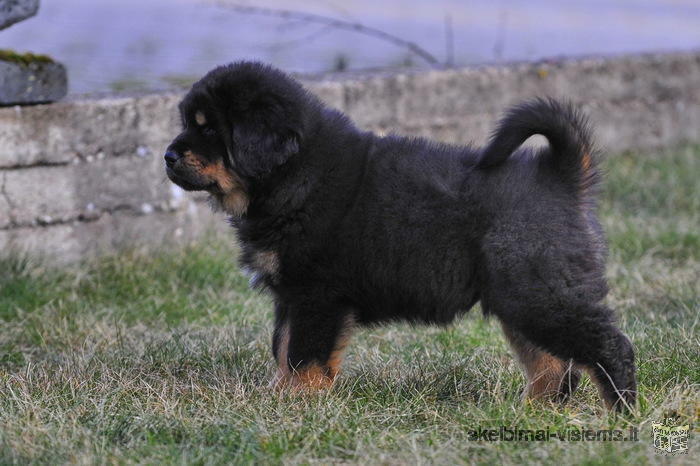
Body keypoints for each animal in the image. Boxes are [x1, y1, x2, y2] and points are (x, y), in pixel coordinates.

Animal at [164, 62, 636, 412]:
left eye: (210, 129)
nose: (168, 155)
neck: (296, 175)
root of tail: (559, 174)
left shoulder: (317, 295)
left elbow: (303, 356)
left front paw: (296, 403)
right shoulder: (291, 297)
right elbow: (282, 347)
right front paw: (277, 396)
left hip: (538, 290)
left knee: (610, 347)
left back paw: (621, 415)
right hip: (520, 297)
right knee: (553, 363)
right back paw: (534, 412)